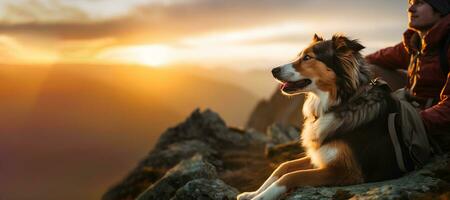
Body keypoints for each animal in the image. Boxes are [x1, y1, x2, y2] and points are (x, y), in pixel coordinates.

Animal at [237, 33, 406, 199]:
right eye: (299, 55)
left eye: (307, 57)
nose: (273, 70)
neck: (341, 104)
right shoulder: (320, 155)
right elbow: (284, 166)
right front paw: (252, 193)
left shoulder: (347, 171)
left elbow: (292, 176)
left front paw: (261, 197)